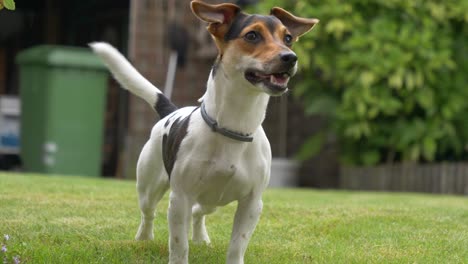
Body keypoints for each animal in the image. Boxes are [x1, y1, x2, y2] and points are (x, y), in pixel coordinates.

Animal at [90, 1, 318, 262]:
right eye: (252, 35)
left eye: (288, 38)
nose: (290, 57)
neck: (234, 126)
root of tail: (171, 111)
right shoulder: (179, 199)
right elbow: (179, 245)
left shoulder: (252, 203)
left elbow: (237, 245)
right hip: (149, 186)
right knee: (149, 213)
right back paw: (144, 238)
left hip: (214, 200)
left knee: (199, 212)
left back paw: (200, 238)